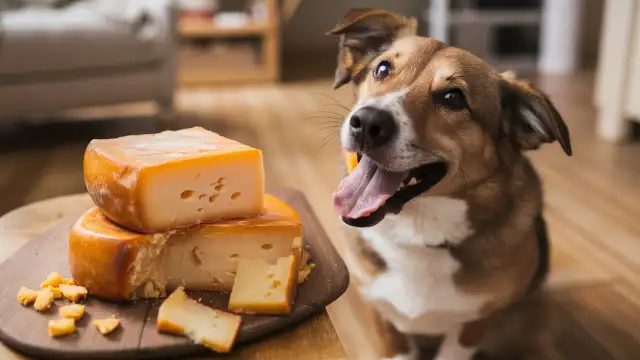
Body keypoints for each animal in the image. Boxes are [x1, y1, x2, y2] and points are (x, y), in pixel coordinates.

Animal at [328, 7, 572, 360]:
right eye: (382, 69)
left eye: (453, 98)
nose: (367, 122)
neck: (419, 236)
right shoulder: (382, 314)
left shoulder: (475, 324)